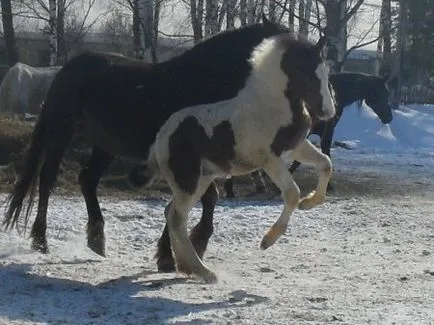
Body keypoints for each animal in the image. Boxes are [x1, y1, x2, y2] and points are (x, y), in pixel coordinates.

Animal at [4, 14, 288, 270]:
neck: (201, 84)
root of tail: (68, 68)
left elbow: (202, 200)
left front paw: (177, 252)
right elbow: (200, 200)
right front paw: (180, 251)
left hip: (105, 145)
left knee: (87, 179)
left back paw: (96, 238)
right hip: (61, 132)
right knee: (47, 179)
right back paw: (40, 240)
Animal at [139, 33, 336, 280]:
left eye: (325, 72)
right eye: (307, 72)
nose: (328, 112)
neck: (272, 107)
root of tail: (161, 137)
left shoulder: (297, 147)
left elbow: (326, 164)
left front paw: (308, 203)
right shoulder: (270, 160)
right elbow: (292, 193)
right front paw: (267, 240)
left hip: (200, 180)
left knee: (171, 213)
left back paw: (186, 266)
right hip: (188, 182)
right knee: (176, 218)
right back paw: (202, 270)